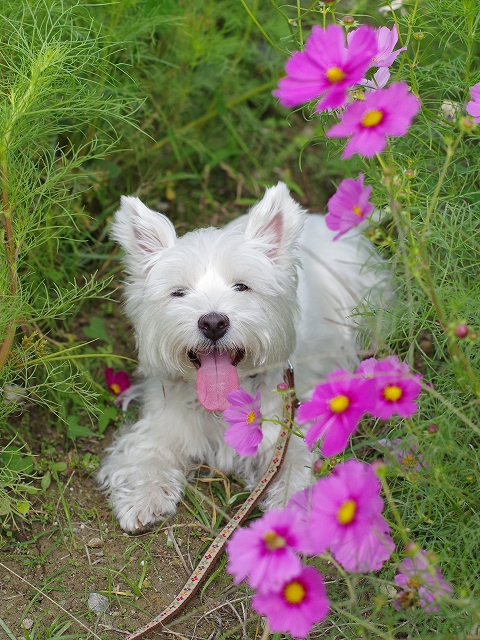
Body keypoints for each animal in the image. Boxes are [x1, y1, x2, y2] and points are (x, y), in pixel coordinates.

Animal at [98, 182, 390, 532]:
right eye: (179, 292)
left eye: (242, 286)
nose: (212, 323)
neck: (223, 404)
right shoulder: (161, 424)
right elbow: (145, 456)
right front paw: (143, 500)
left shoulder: (287, 431)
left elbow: (294, 472)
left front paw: (294, 516)